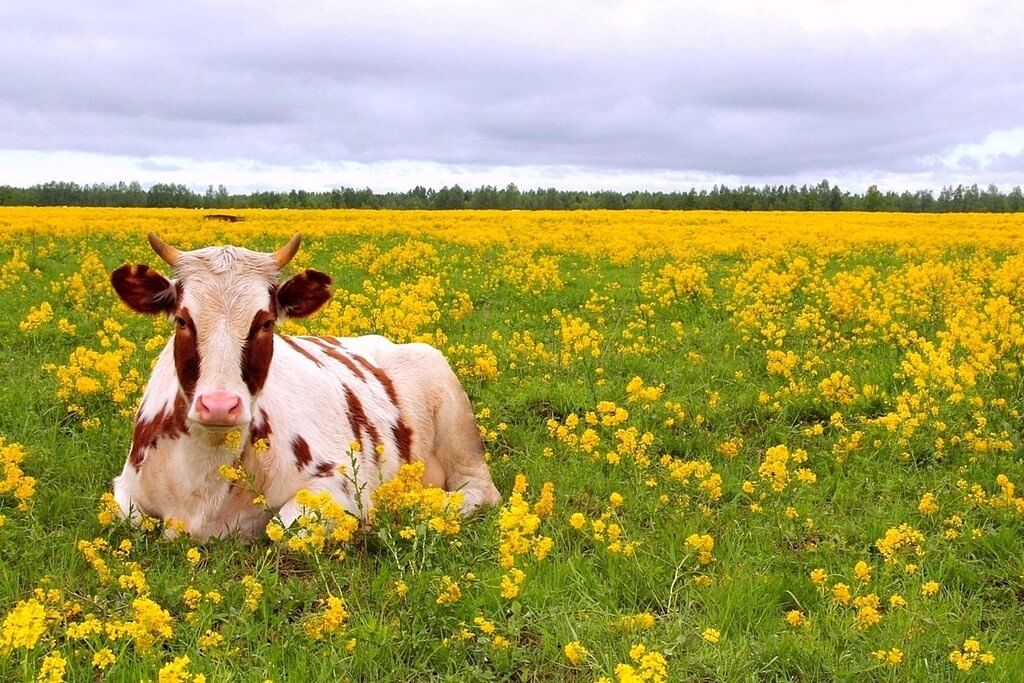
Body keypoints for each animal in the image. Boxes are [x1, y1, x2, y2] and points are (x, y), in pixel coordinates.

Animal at [108, 232, 499, 540]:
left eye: (266, 323)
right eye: (182, 320)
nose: (219, 405)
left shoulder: (338, 482)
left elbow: (283, 527)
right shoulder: (124, 487)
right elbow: (130, 517)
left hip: (456, 425)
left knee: (478, 491)